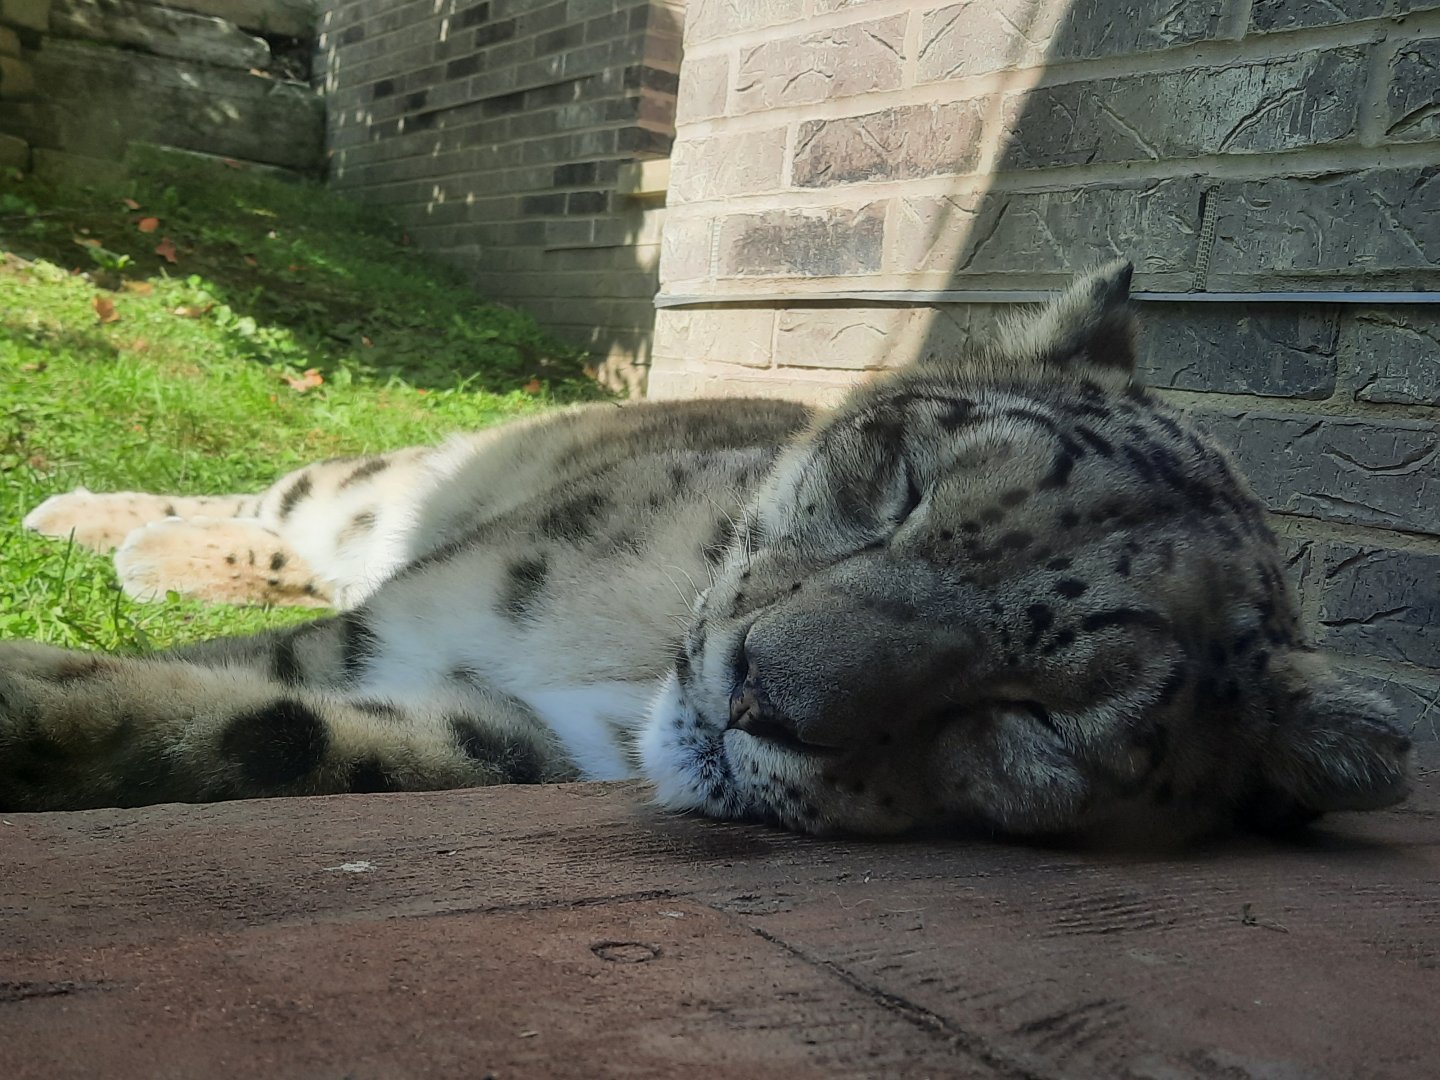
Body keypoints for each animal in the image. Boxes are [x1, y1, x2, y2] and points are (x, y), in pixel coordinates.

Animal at [3, 261, 1412, 842]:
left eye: (1044, 717)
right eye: (899, 482)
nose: (753, 694)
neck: (617, 670)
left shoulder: (509, 732)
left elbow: (273, 730)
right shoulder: (395, 624)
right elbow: (268, 674)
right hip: (376, 490)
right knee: (302, 493)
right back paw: (96, 523)